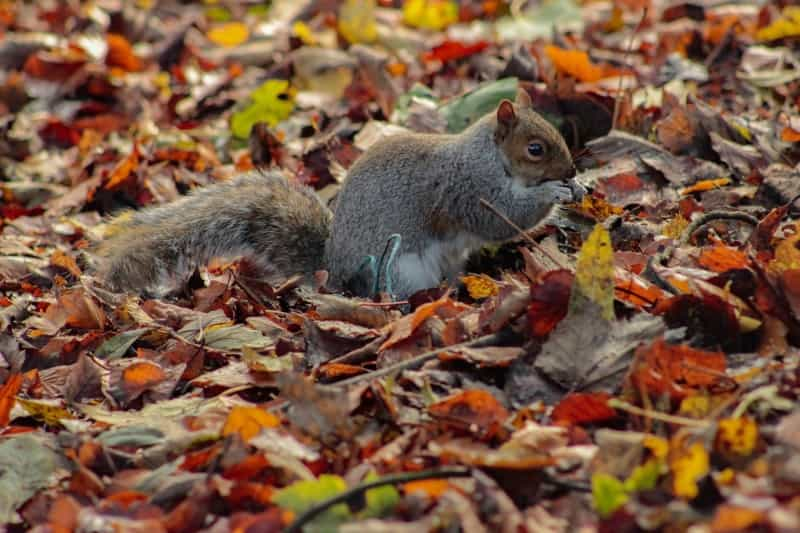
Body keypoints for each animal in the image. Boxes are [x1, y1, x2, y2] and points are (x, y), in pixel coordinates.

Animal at [97, 89, 580, 302]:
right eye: (535, 149)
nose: (572, 171)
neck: (487, 155)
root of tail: (333, 270)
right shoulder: (469, 188)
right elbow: (499, 218)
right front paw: (555, 192)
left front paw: (577, 186)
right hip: (400, 269)